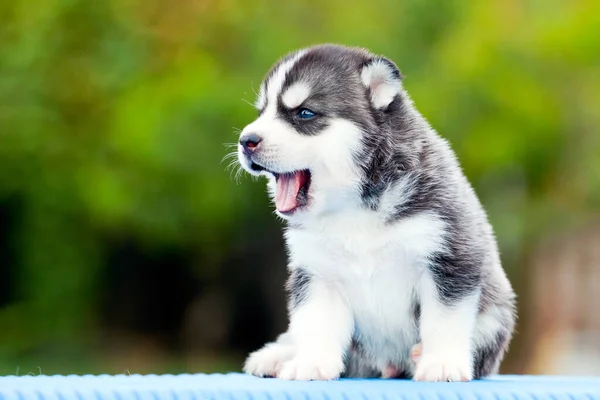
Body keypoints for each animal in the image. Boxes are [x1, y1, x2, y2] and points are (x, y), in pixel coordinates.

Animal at [234, 43, 516, 382]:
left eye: (304, 113)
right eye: (261, 113)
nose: (246, 141)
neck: (353, 207)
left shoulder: (450, 257)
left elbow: (444, 320)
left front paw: (442, 362)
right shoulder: (317, 272)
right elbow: (316, 323)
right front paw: (311, 362)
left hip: (497, 312)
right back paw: (276, 356)